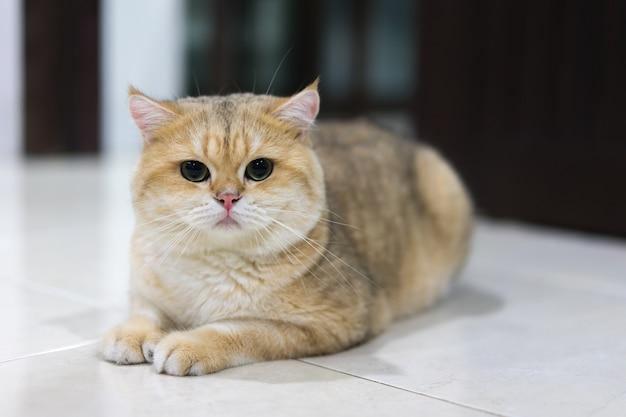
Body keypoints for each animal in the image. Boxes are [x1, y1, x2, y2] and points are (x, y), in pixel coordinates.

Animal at [102, 79, 470, 376]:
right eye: (193, 170)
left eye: (259, 168)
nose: (227, 197)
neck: (216, 264)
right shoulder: (146, 288)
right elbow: (145, 311)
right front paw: (131, 333)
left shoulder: (331, 322)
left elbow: (241, 330)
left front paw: (190, 344)